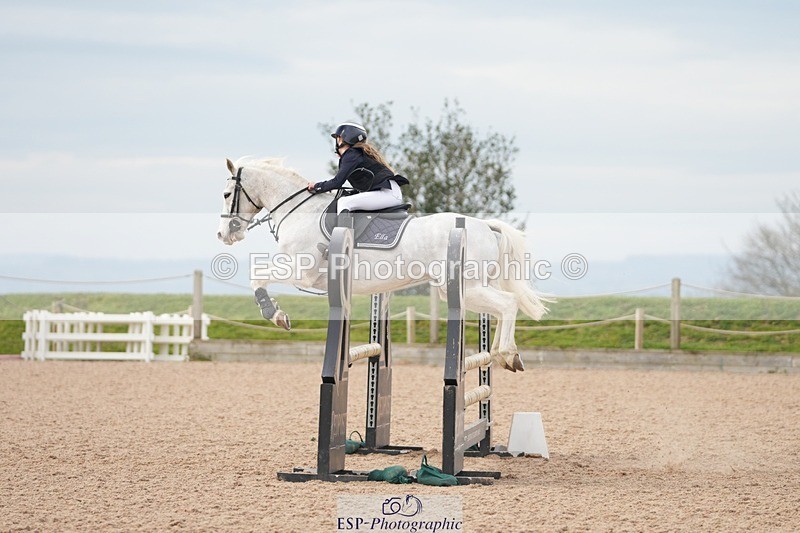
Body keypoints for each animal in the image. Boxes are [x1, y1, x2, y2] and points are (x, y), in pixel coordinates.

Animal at [216, 157, 548, 371]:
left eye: (227, 193)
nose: (224, 234)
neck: (300, 211)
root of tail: (486, 227)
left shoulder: (300, 271)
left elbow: (257, 277)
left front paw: (275, 315)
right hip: (465, 288)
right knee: (505, 306)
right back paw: (508, 356)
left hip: (468, 286)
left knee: (508, 304)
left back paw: (505, 354)